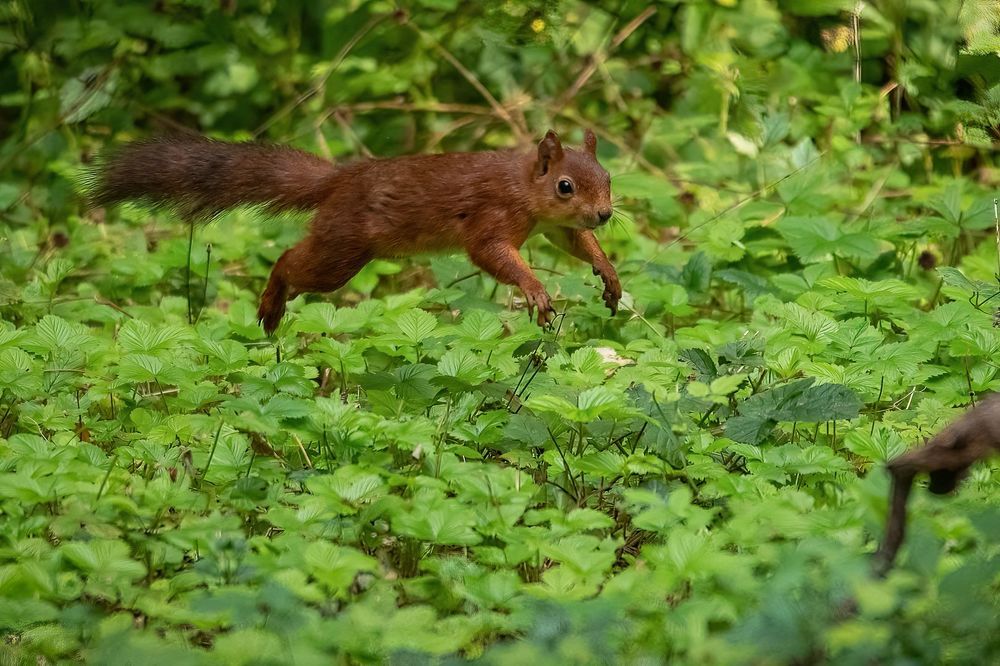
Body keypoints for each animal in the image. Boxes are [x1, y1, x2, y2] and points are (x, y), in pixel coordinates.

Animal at [90, 129, 621, 334]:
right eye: (565, 185)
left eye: (609, 177)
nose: (604, 214)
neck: (522, 183)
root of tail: (338, 181)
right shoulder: (493, 217)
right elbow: (490, 252)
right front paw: (534, 288)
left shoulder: (553, 227)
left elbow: (573, 243)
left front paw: (608, 273)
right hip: (342, 249)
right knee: (288, 263)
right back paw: (271, 304)